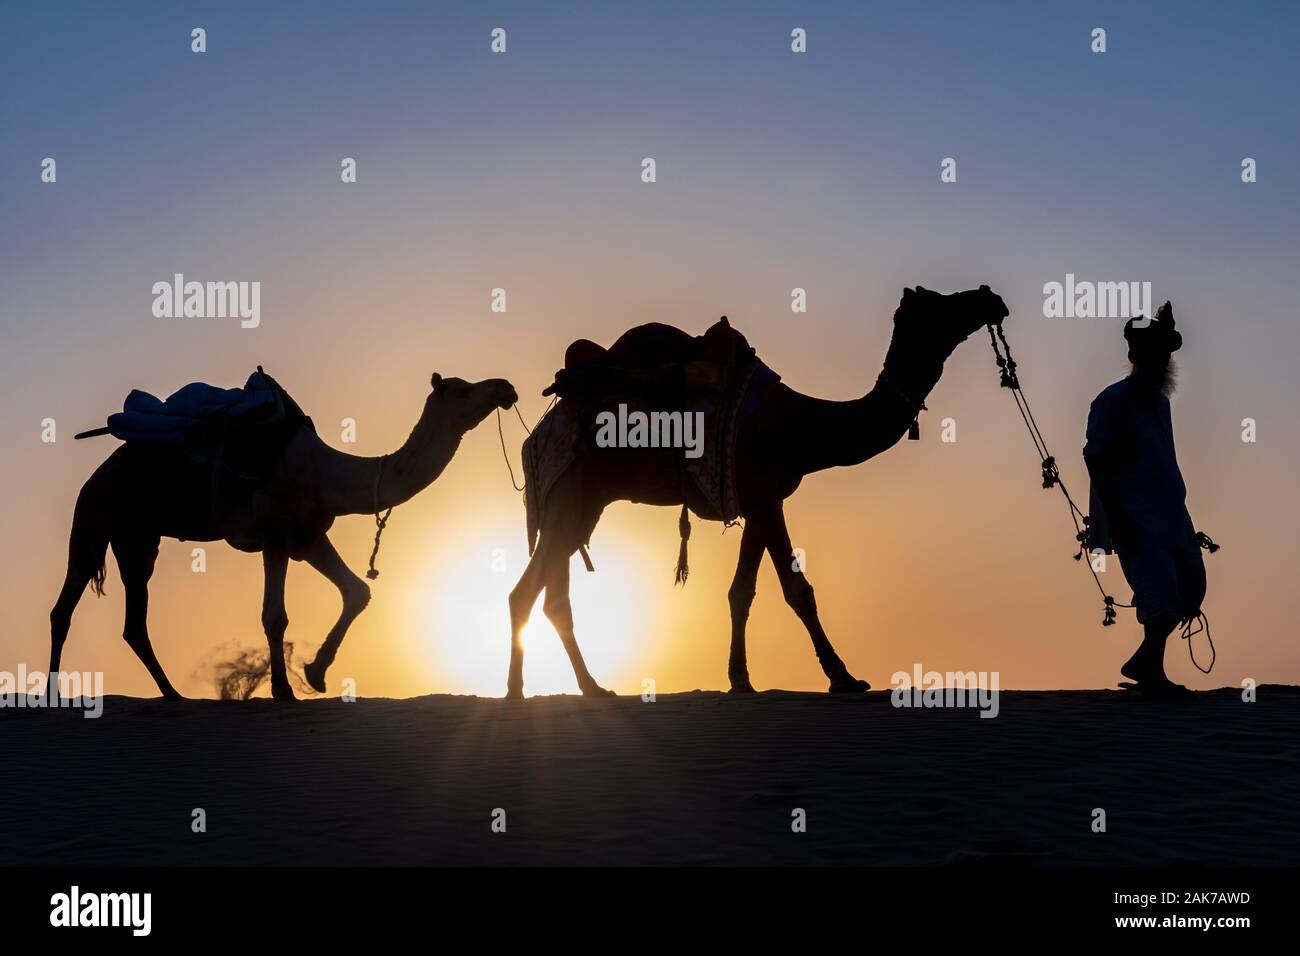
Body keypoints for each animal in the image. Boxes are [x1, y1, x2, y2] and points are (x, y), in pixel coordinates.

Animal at [52, 374, 517, 702]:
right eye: (461, 388)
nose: (504, 386)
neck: (330, 473)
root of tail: (99, 471)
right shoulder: (274, 535)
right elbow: (274, 615)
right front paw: (283, 689)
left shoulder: (308, 539)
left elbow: (357, 591)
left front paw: (316, 672)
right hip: (96, 517)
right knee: (66, 606)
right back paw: (56, 696)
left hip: (138, 536)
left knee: (132, 622)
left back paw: (172, 695)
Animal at [504, 283, 1003, 697]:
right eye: (941, 303)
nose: (988, 296)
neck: (802, 426)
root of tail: (537, 433)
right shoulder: (764, 496)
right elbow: (797, 589)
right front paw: (843, 677)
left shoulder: (760, 500)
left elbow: (741, 591)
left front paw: (740, 679)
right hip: (571, 495)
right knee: (536, 593)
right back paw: (539, 690)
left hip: (580, 505)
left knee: (543, 594)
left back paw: (573, 688)